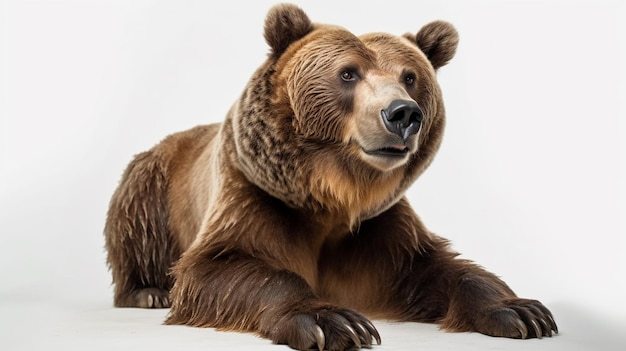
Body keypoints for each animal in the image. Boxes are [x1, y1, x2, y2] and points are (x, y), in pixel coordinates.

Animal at [103, 3, 556, 351]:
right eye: (348, 73)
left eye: (409, 76)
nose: (403, 113)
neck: (333, 195)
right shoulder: (255, 194)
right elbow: (223, 266)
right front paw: (335, 321)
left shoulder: (376, 228)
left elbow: (432, 265)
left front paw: (522, 311)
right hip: (152, 183)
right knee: (136, 225)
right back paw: (147, 292)